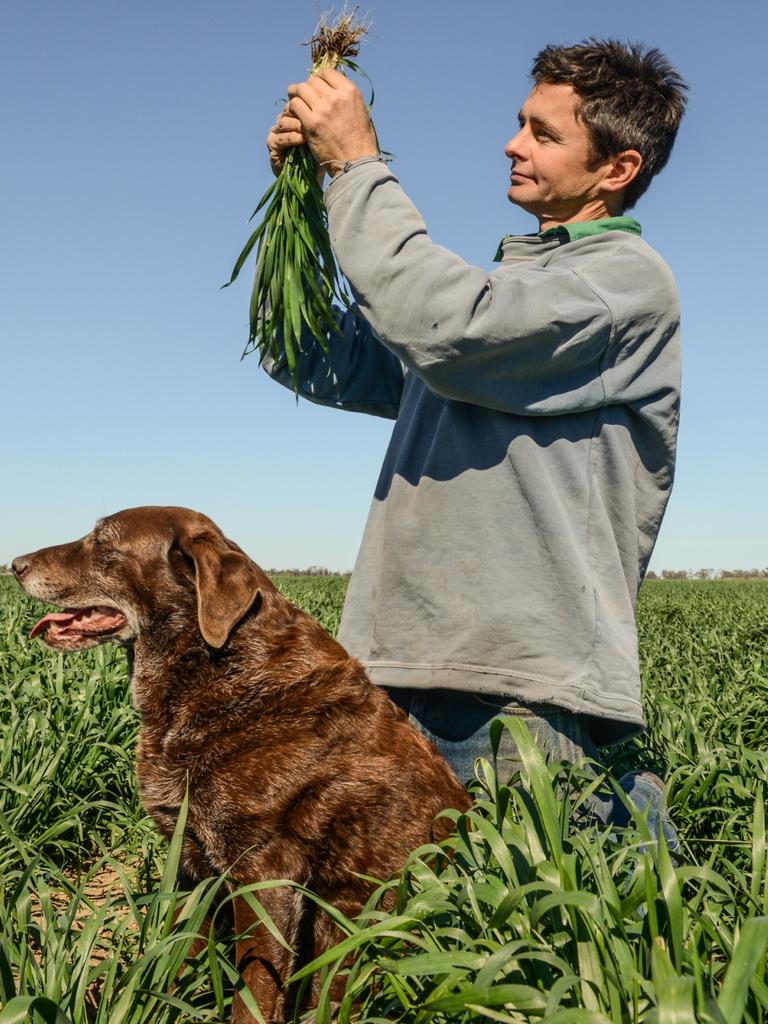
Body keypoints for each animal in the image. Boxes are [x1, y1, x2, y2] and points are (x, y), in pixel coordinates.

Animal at [12, 507, 473, 1019]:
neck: (212, 667)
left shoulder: (264, 874)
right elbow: (175, 958)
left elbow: (253, 993)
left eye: (102, 542)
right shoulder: (191, 862)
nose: (14, 564)